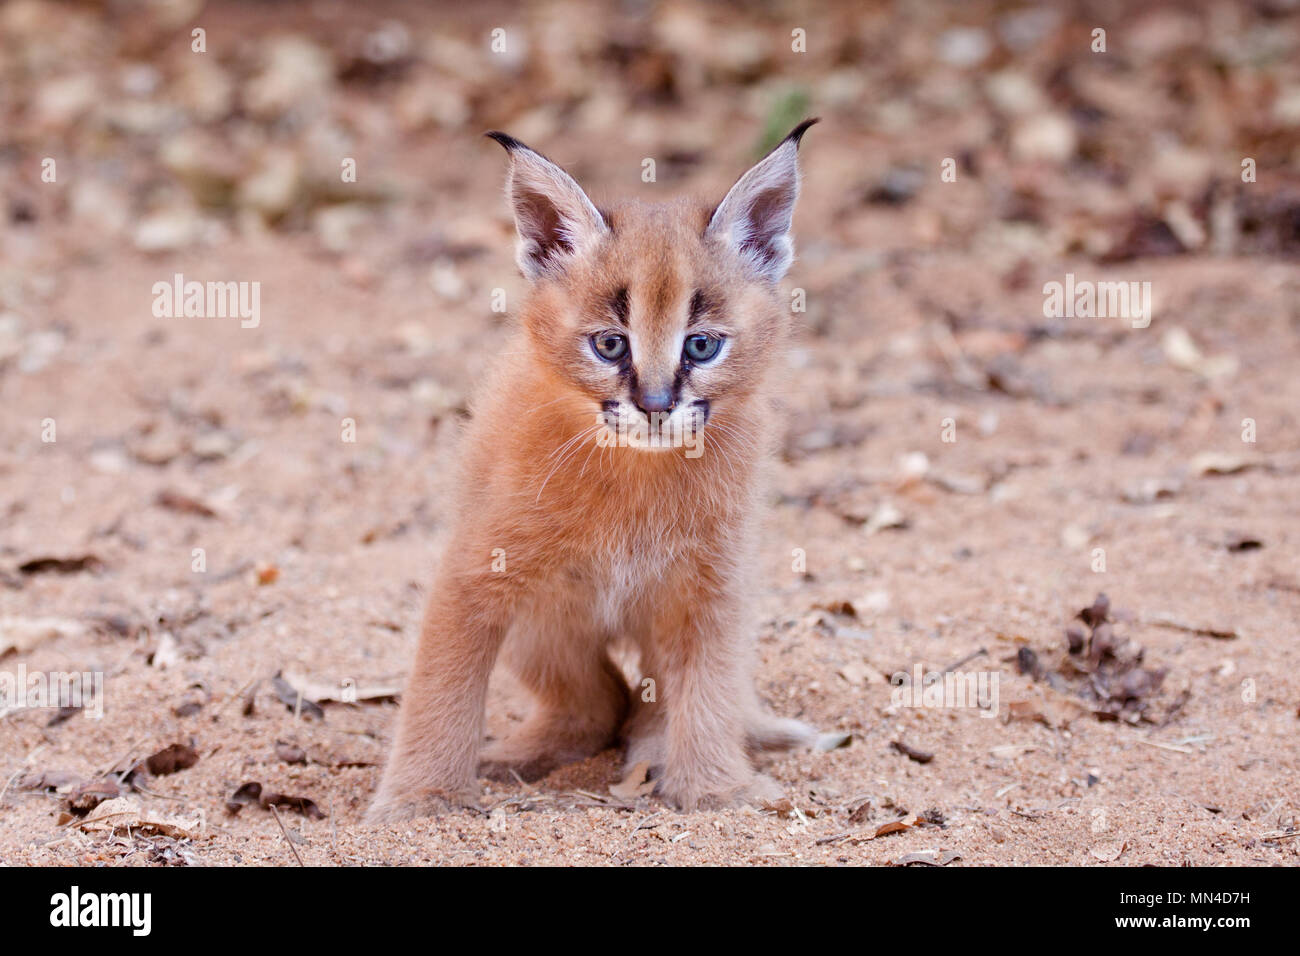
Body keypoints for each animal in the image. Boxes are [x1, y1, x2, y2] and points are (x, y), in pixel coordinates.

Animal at [366, 119, 816, 822]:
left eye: (701, 346)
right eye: (609, 345)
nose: (655, 406)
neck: (634, 473)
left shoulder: (714, 581)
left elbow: (710, 686)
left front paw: (717, 789)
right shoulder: (477, 570)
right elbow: (441, 684)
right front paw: (420, 800)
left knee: (644, 698)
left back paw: (652, 754)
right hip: (543, 619)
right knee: (601, 700)